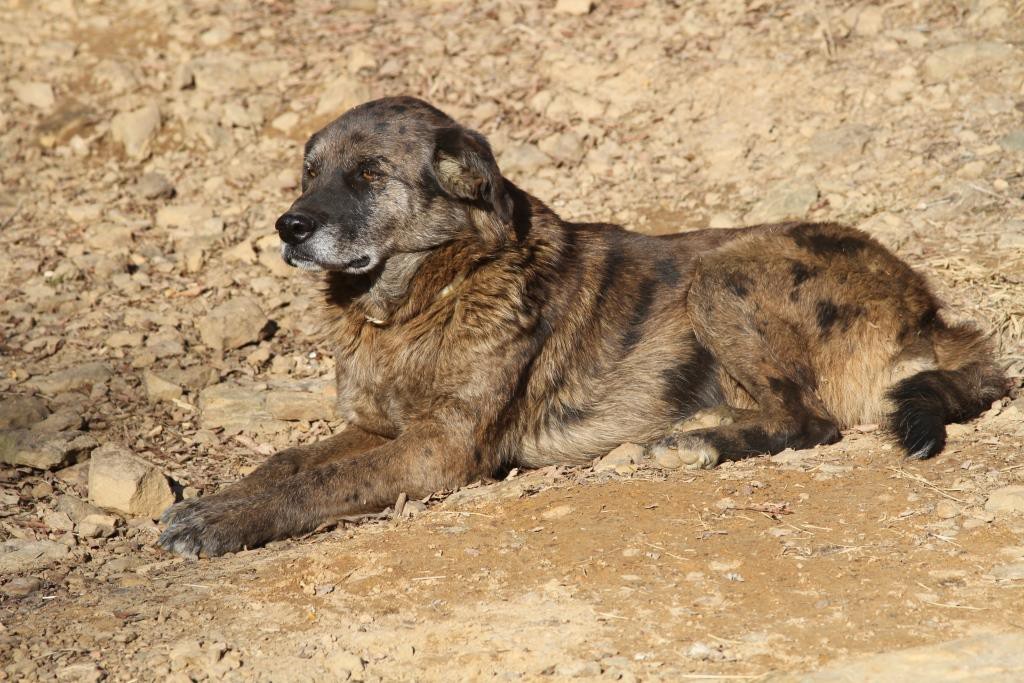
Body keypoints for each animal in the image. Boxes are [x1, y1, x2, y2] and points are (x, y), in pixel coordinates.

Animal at [159, 94, 1007, 557]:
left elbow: (320, 482)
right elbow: (285, 462)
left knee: (810, 420)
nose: (289, 227)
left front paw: (221, 520)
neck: (422, 298)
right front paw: (222, 498)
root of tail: (926, 304)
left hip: (721, 272)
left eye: (369, 175)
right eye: (309, 173)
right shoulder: (378, 427)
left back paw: (697, 440)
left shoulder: (439, 450)